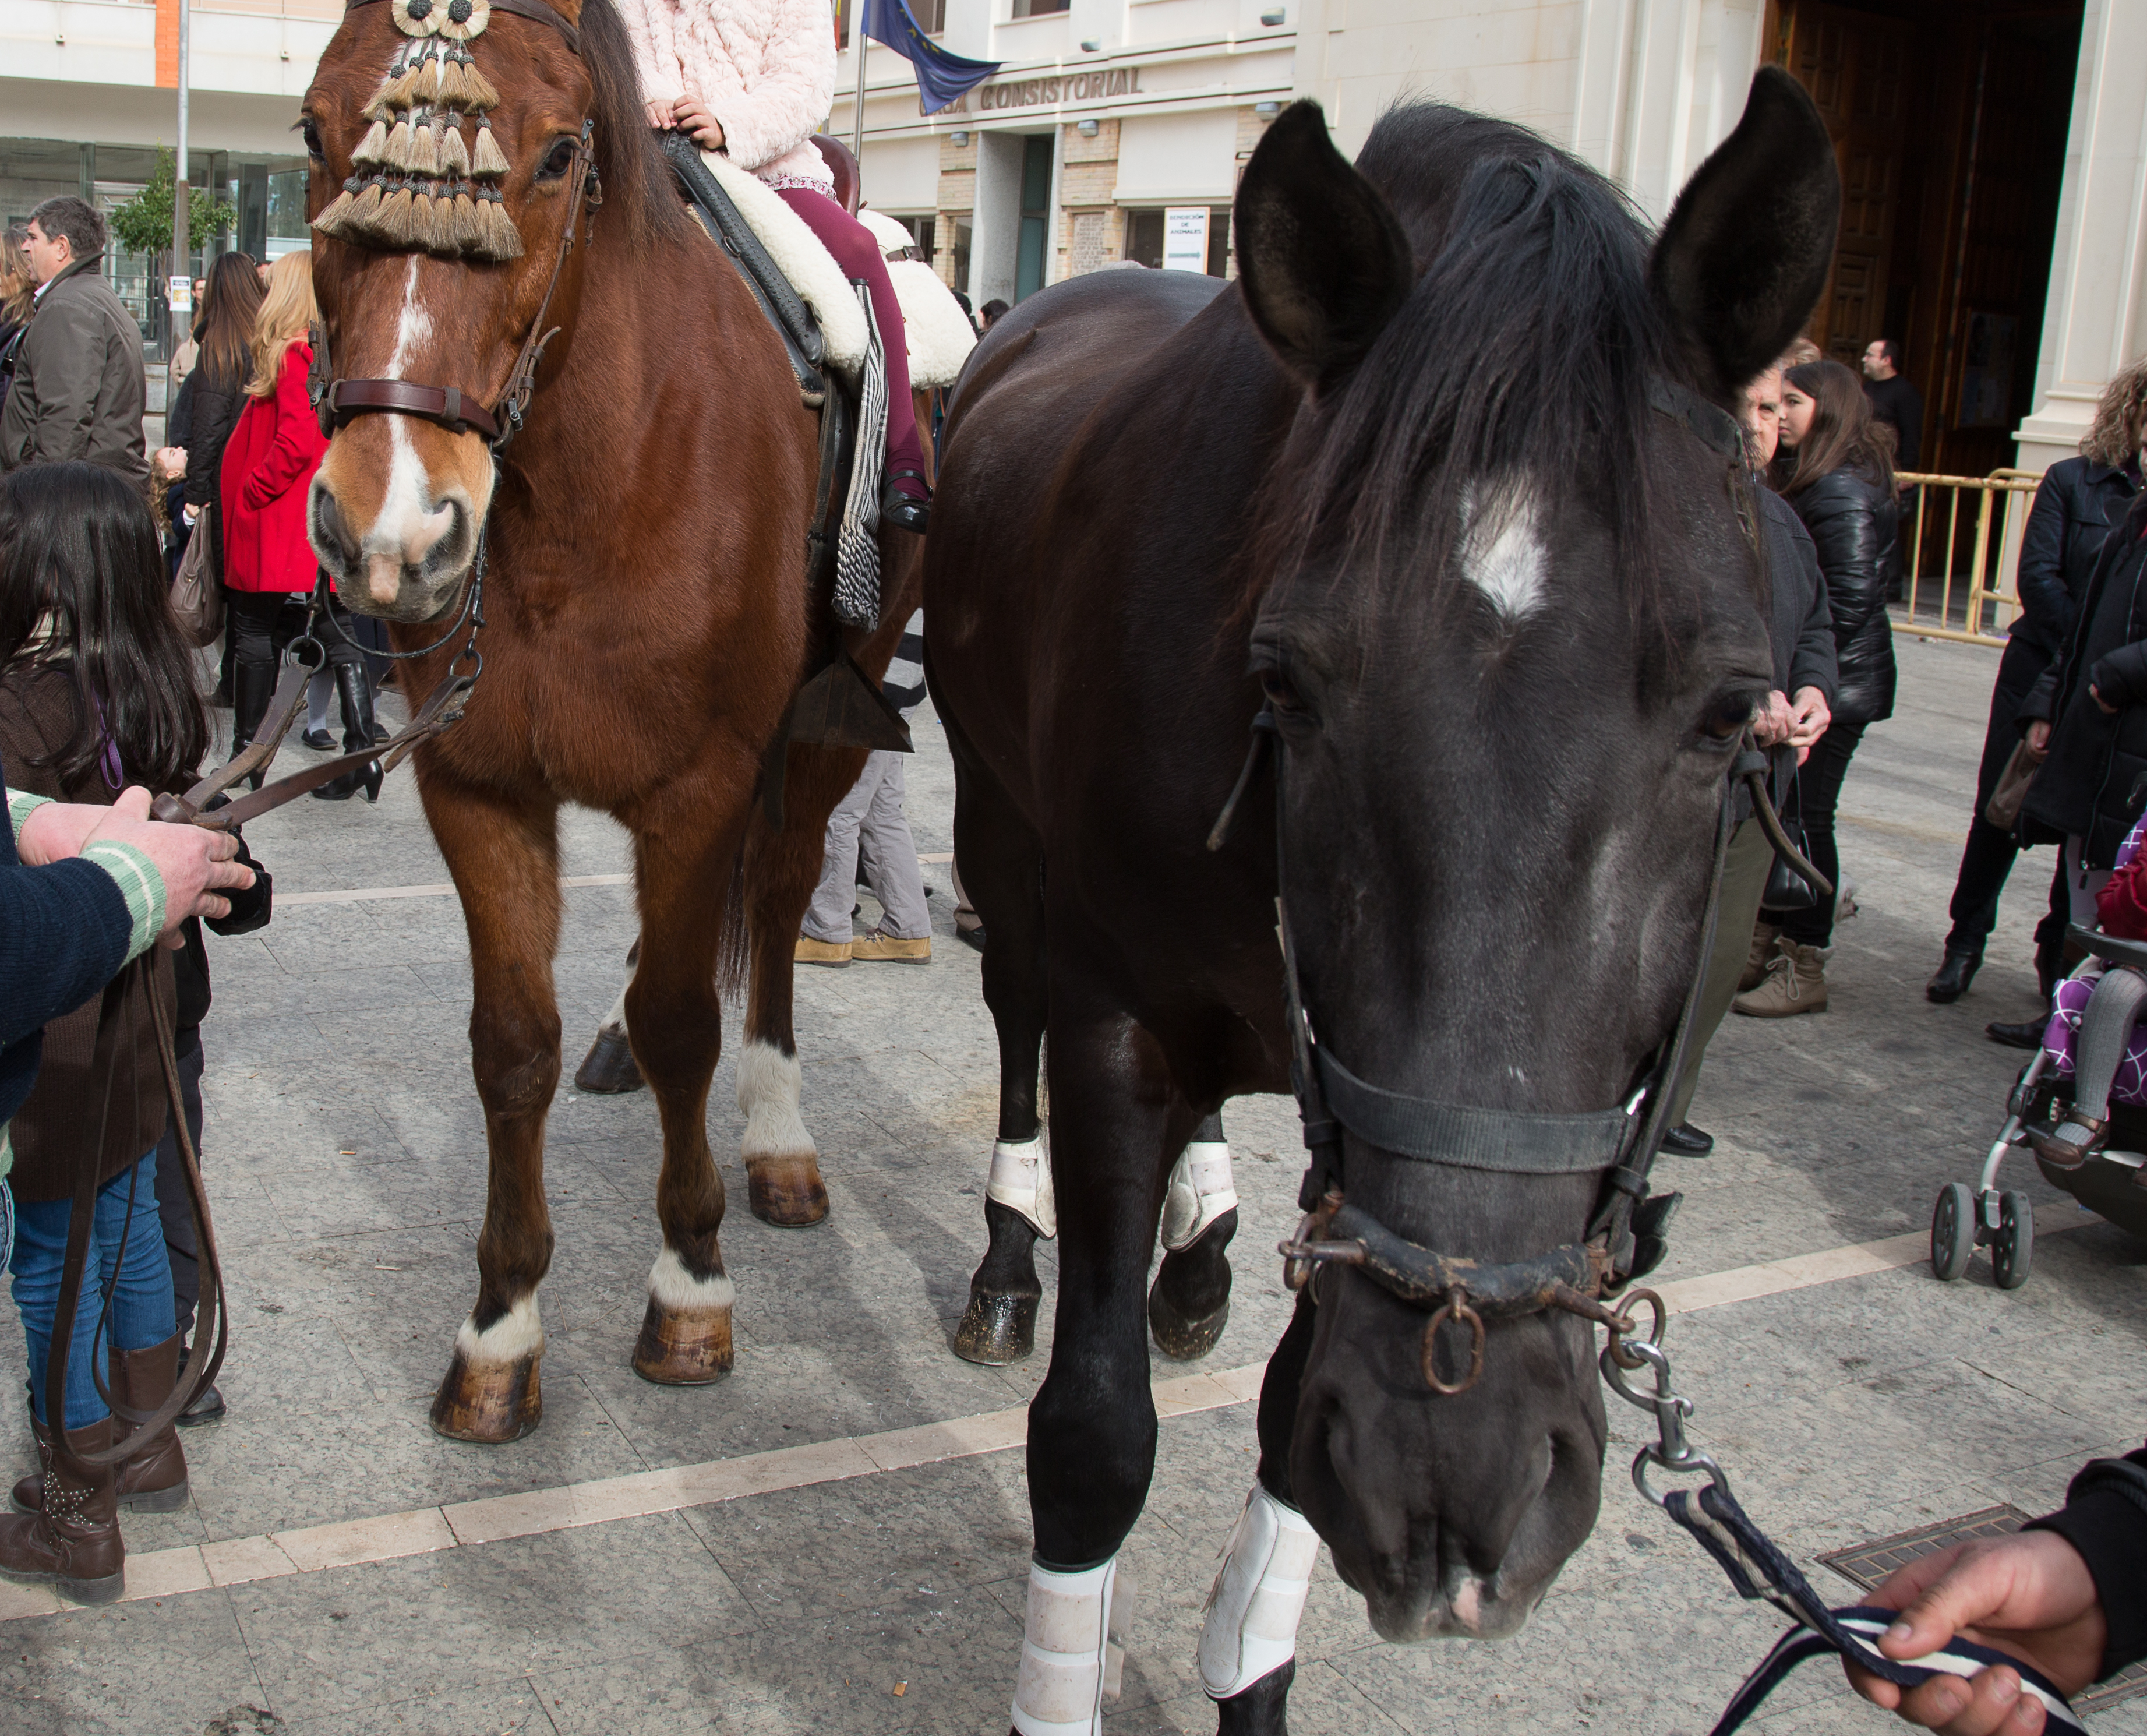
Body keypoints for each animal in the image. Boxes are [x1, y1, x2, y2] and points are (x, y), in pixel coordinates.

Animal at [298, 0, 922, 1443]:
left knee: (778, 904)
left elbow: (693, 1018)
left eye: (558, 153)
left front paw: (689, 1289)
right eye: (311, 131)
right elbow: (511, 1044)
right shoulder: (477, 787)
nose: (390, 527)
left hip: (822, 736)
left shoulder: (701, 786)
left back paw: (777, 1140)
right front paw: (499, 1328)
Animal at [923, 72, 1838, 1734]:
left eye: (1733, 708)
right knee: (1013, 1011)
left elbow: (1296, 1432)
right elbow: (1089, 1437)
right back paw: (1013, 1259)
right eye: (1287, 680)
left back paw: (1201, 1246)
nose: (1459, 1472)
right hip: (1001, 837)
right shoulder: (1113, 1008)